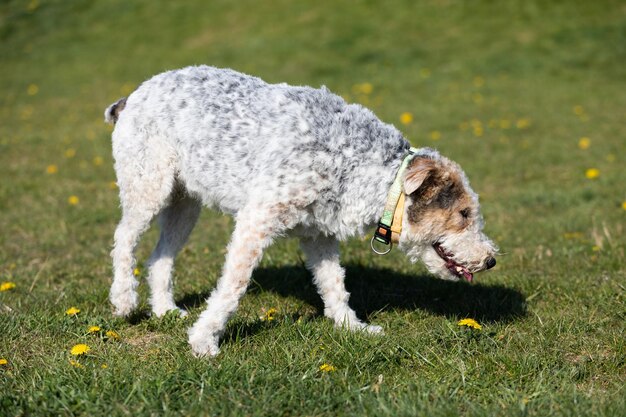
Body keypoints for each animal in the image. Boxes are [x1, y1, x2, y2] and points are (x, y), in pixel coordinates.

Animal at [106, 66, 498, 358]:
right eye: (464, 213)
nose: (491, 259)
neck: (357, 161)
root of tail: (134, 95)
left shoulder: (318, 234)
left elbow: (334, 285)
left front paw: (351, 328)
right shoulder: (256, 222)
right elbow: (232, 287)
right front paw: (204, 340)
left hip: (185, 204)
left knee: (160, 257)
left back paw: (164, 309)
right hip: (148, 188)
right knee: (124, 237)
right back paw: (124, 300)